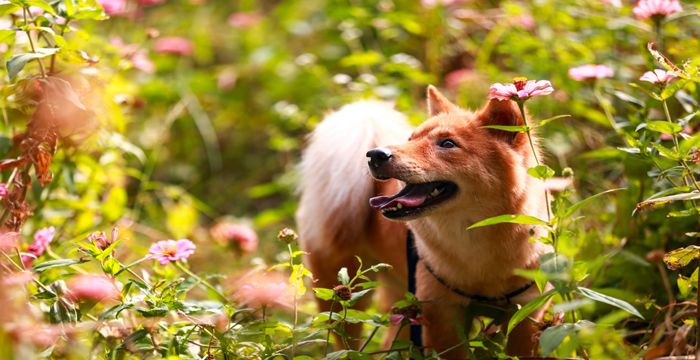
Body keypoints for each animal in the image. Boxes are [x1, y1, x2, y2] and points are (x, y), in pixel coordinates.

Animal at [296, 86, 552, 358]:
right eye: (411, 138)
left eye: (447, 143)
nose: (375, 154)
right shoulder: (441, 317)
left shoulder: (526, 315)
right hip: (342, 297)